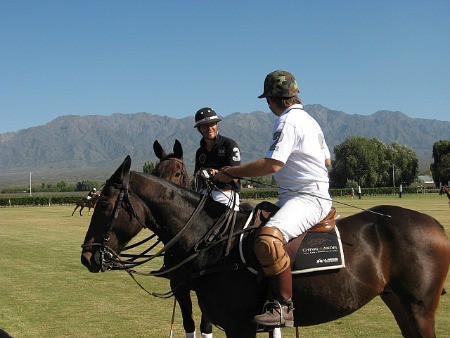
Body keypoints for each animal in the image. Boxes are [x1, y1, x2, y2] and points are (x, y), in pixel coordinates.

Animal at [81, 156, 450, 338]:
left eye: (104, 204)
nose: (87, 256)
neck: (211, 241)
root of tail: (436, 225)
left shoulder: (240, 325)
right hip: (398, 301)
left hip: (419, 307)